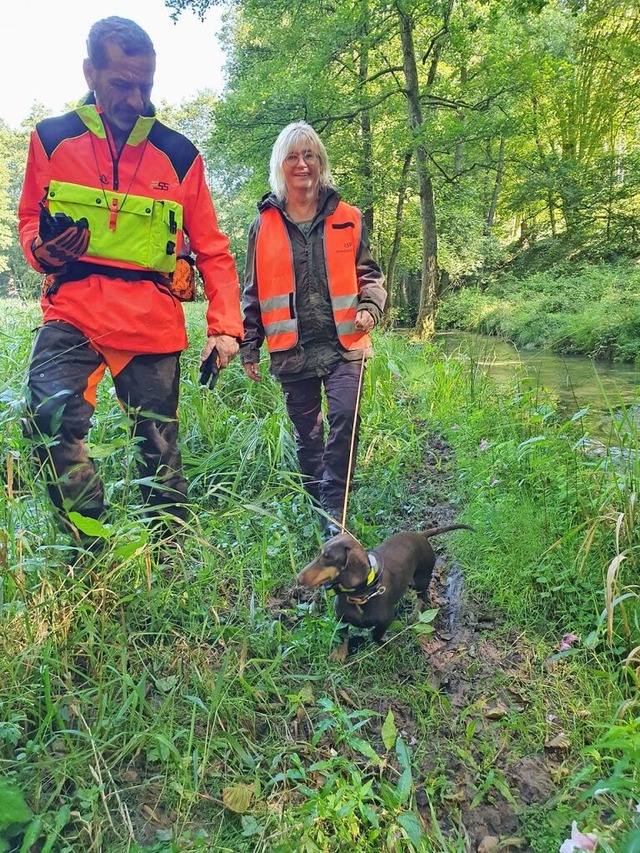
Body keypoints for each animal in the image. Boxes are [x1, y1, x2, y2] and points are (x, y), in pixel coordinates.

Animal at [298, 524, 472, 648]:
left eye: (328, 558)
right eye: (318, 554)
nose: (298, 578)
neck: (358, 596)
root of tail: (421, 535)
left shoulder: (386, 620)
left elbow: (375, 636)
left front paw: (385, 643)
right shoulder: (340, 619)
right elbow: (343, 638)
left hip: (420, 580)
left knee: (423, 598)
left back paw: (414, 615)